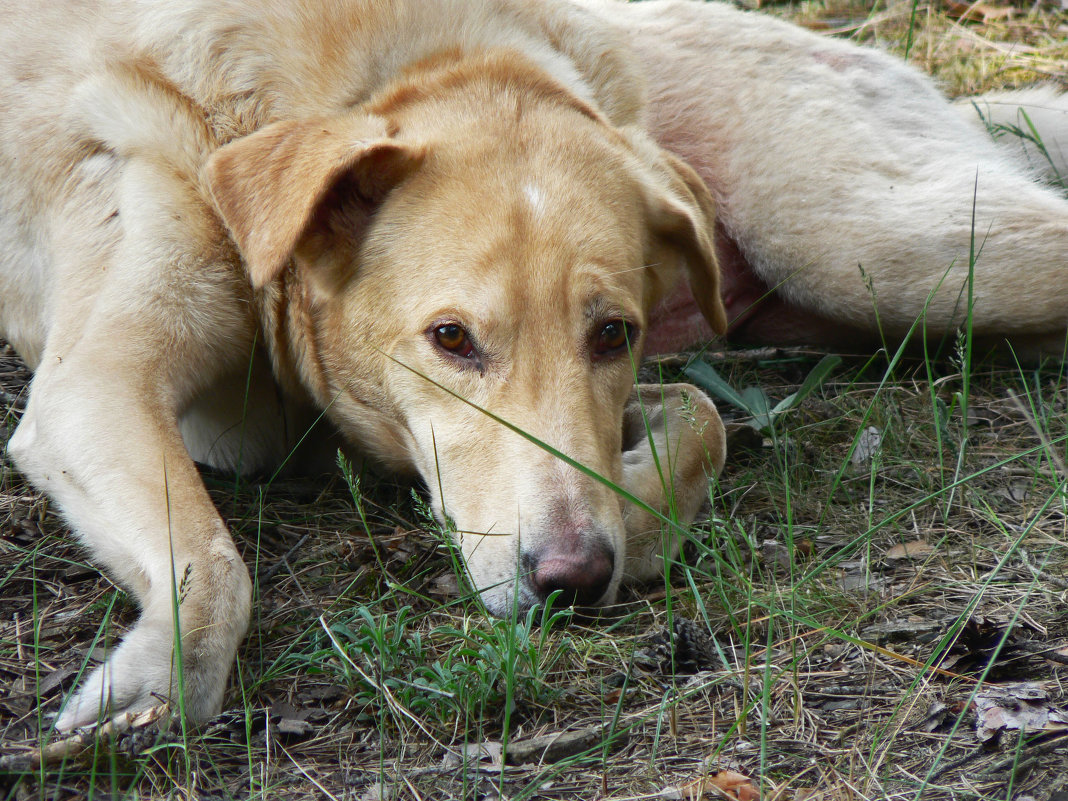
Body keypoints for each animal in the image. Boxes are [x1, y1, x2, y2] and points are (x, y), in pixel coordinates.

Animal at [0, 0, 1063, 734]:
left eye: (614, 334)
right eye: (450, 338)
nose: (569, 578)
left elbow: (697, 423)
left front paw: (634, 527)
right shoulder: (95, 384)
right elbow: (212, 563)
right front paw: (149, 685)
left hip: (886, 251)